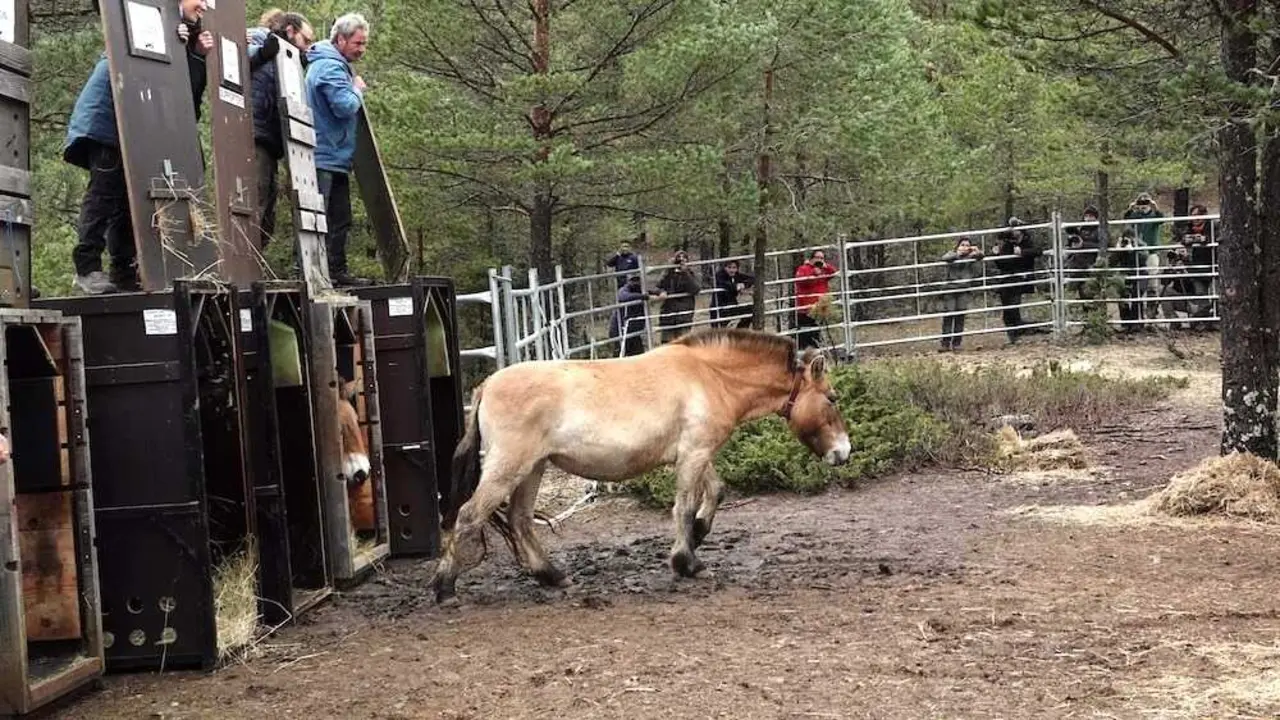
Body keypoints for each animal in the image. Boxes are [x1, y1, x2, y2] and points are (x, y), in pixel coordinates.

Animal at [430, 327, 851, 605]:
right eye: (832, 397)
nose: (844, 452)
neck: (710, 376)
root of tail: (486, 386)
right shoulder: (695, 453)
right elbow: (684, 506)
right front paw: (687, 562)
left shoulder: (693, 453)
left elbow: (715, 492)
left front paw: (698, 536)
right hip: (509, 468)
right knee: (468, 516)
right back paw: (444, 587)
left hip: (532, 468)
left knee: (519, 521)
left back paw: (552, 576)